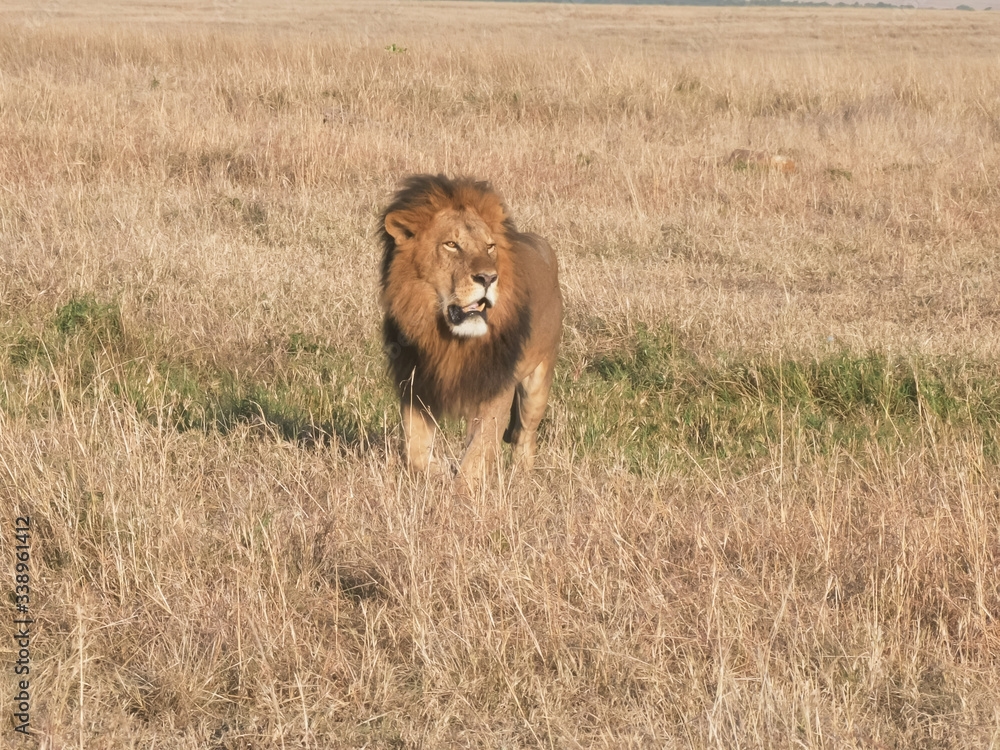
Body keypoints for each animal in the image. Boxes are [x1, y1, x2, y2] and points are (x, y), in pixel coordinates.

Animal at [379, 174, 562, 488]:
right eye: (451, 244)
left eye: (489, 247)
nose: (488, 277)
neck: (450, 339)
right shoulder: (415, 384)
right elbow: (415, 452)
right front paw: (439, 472)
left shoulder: (496, 387)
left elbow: (476, 458)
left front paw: (462, 494)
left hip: (537, 381)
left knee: (525, 437)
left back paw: (522, 480)